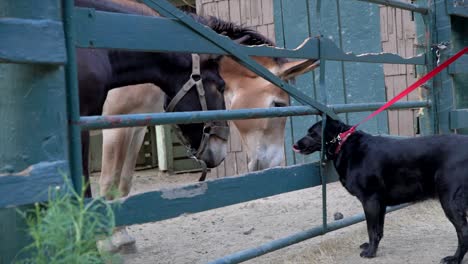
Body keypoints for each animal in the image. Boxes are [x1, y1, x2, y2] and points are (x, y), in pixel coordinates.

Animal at [294, 118, 466, 264]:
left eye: (312, 133)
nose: (295, 145)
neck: (344, 144)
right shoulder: (380, 203)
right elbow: (379, 230)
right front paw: (372, 247)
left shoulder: (370, 200)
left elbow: (371, 229)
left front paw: (370, 252)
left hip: (449, 201)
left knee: (463, 232)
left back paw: (455, 258)